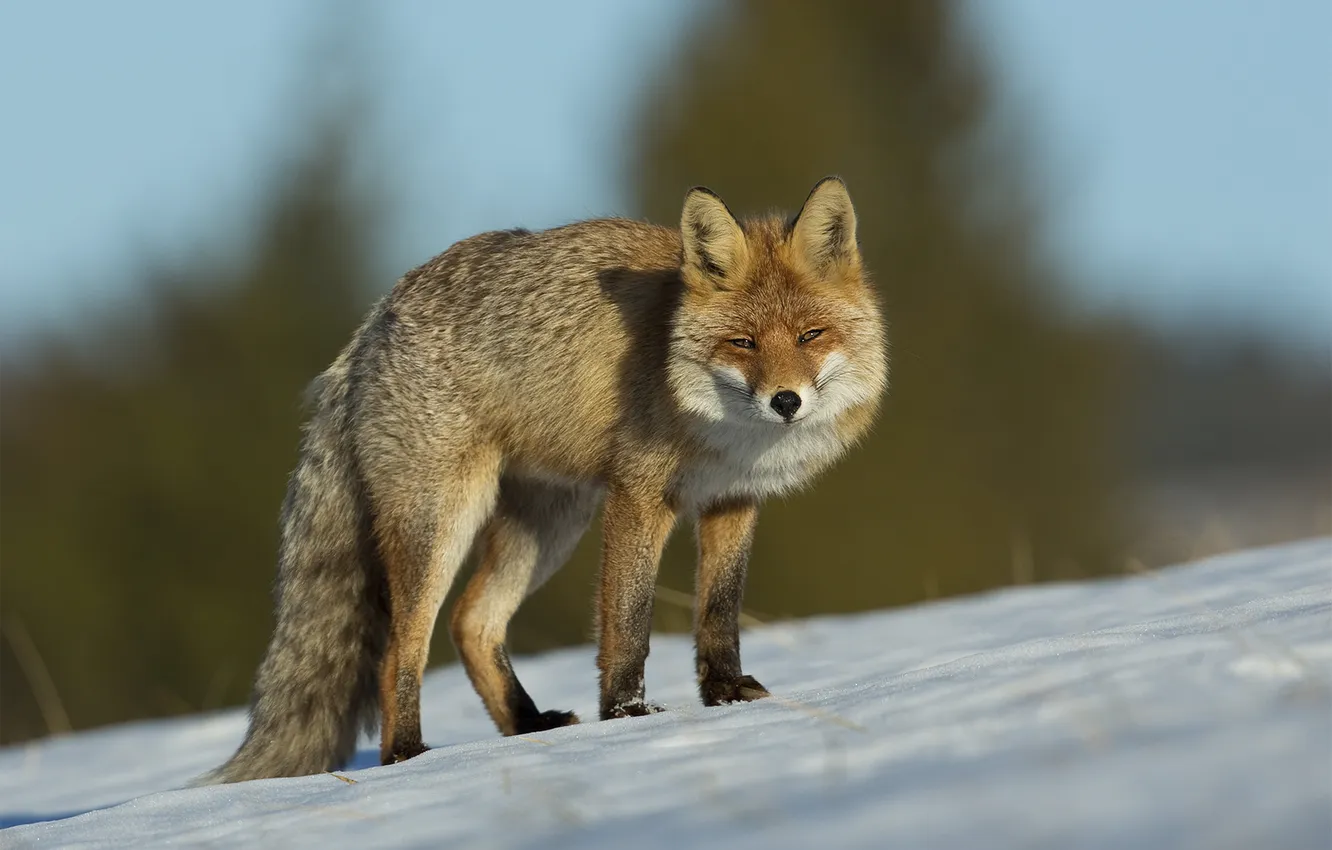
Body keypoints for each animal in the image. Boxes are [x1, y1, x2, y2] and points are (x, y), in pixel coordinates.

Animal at [203, 176, 888, 783]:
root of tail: (374, 323)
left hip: (549, 525)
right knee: (402, 647)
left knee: (471, 621)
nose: (785, 402)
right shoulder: (639, 496)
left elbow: (719, 611)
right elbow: (628, 623)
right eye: (743, 342)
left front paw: (725, 695)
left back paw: (527, 725)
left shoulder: (731, 500)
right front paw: (629, 716)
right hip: (445, 521)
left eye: (811, 335)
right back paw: (409, 756)